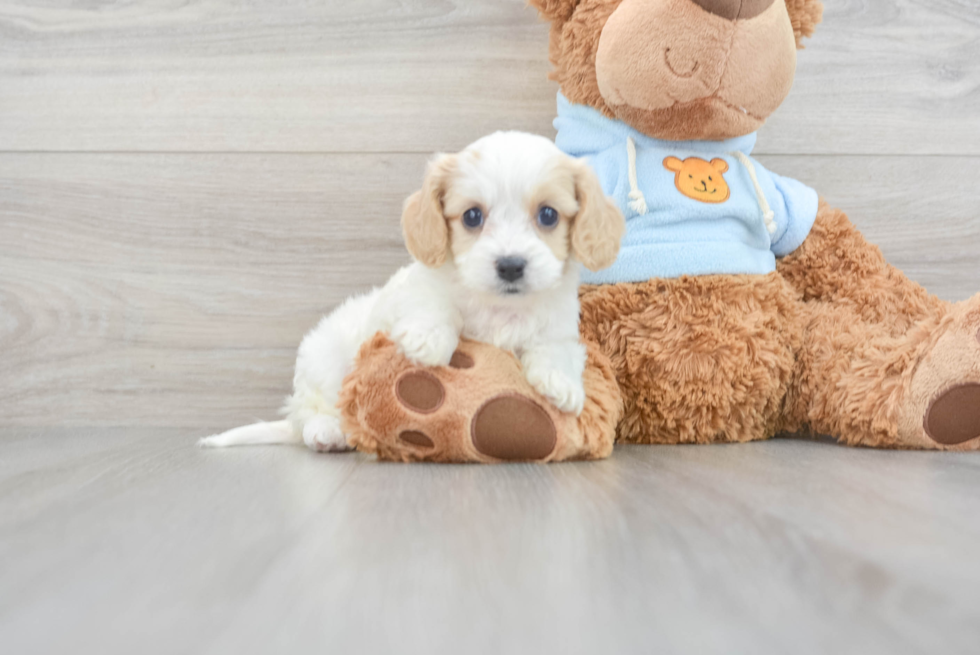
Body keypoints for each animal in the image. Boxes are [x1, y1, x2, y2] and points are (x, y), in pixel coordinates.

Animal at [202, 131, 624, 454]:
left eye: (548, 215)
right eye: (472, 216)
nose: (510, 265)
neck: (498, 306)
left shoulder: (560, 325)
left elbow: (558, 347)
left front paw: (561, 382)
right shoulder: (416, 289)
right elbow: (434, 303)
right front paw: (428, 339)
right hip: (323, 359)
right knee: (309, 408)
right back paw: (328, 431)